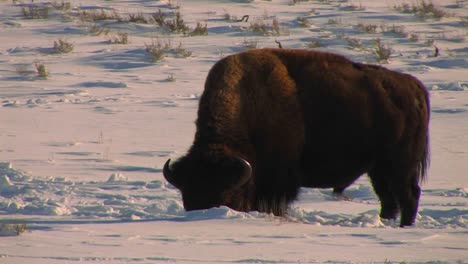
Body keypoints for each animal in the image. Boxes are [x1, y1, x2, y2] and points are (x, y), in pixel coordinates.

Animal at [163, 48, 430, 227]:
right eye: (187, 197)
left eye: (227, 196)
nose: (202, 214)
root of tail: (414, 87)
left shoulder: (277, 181)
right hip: (378, 169)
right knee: (388, 199)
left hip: (399, 165)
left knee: (408, 195)